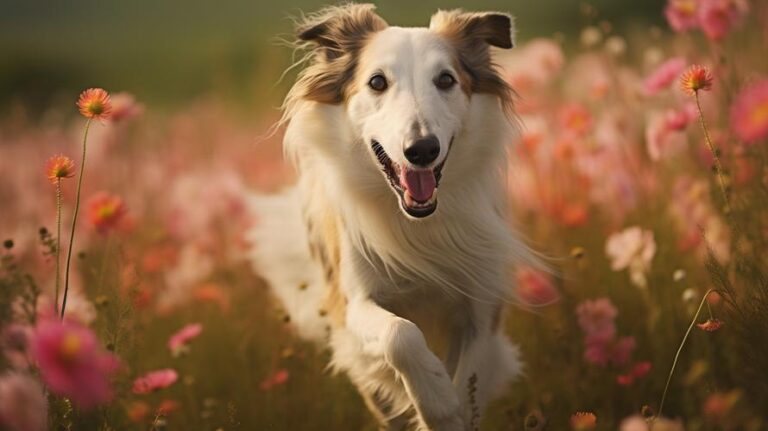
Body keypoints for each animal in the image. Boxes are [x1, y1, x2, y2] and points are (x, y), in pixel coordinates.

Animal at [249, 4, 536, 431]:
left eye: (446, 79)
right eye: (377, 82)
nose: (422, 149)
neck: (417, 222)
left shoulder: (482, 304)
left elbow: (470, 376)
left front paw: (451, 405)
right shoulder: (353, 303)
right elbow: (400, 335)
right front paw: (436, 400)